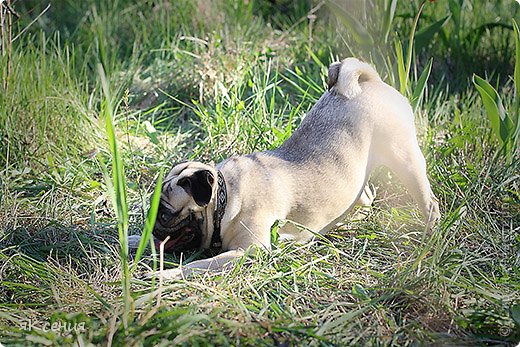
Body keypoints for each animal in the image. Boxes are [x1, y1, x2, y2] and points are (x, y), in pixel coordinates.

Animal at [130, 57, 438, 280]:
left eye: (166, 214)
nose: (152, 224)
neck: (227, 195)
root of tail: (370, 81)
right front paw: (135, 238)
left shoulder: (249, 252)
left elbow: (196, 266)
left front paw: (165, 275)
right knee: (365, 196)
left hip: (405, 159)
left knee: (429, 202)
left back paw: (431, 234)